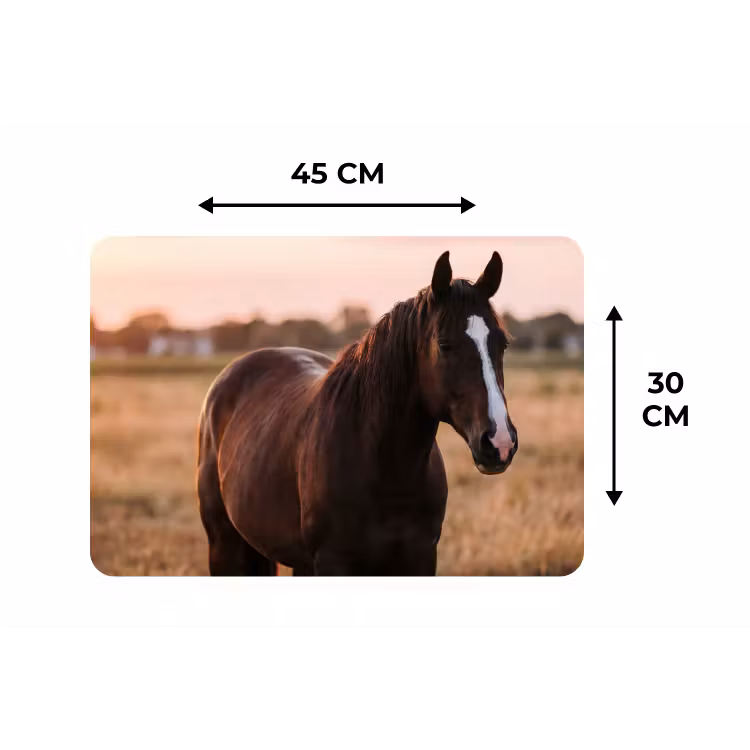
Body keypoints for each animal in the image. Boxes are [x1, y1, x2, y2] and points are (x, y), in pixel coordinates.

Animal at [197, 250, 518, 576]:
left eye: (502, 343)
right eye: (444, 344)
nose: (500, 442)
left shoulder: (421, 558)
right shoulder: (333, 562)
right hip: (224, 545)